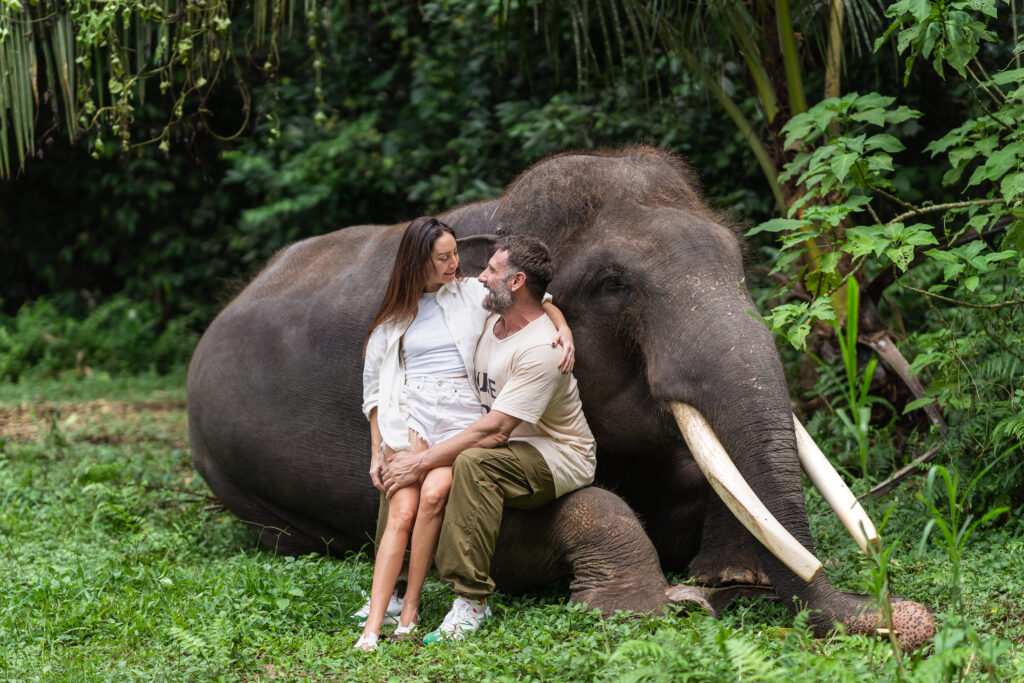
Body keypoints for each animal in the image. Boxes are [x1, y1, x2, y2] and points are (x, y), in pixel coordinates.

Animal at [187, 146, 935, 651]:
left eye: (738, 262)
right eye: (613, 285)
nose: (910, 619)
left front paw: (732, 576)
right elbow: (511, 528)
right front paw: (650, 605)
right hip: (240, 487)